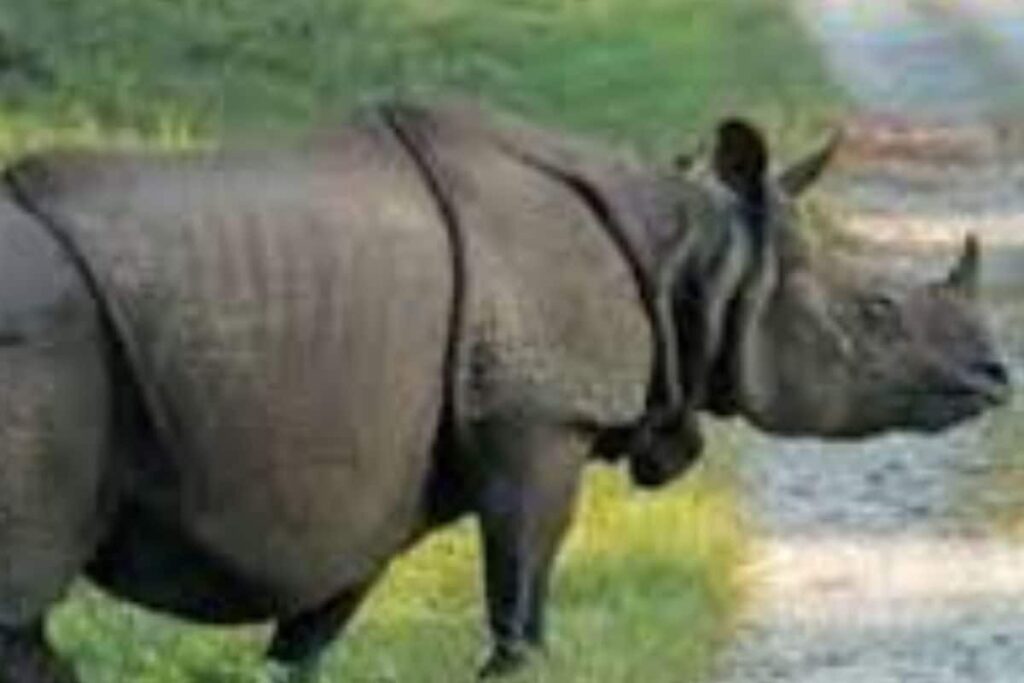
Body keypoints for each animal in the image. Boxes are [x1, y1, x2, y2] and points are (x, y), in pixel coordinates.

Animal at [0, 101, 1009, 682]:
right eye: (877, 311)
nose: (998, 377)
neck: (697, 253)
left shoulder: (371, 472)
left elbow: (312, 630)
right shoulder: (540, 418)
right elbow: (522, 595)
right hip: (47, 334)